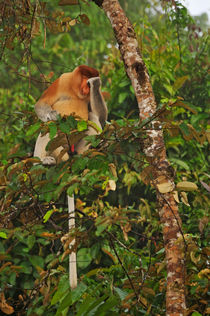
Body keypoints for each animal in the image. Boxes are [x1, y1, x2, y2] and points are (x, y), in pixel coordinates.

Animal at [33, 65, 108, 290]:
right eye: (82, 78)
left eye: (87, 81)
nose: (87, 87)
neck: (76, 91)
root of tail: (67, 156)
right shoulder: (63, 81)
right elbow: (42, 105)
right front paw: (53, 113)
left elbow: (100, 117)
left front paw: (96, 83)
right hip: (57, 143)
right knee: (47, 128)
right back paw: (44, 161)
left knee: (93, 119)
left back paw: (86, 155)